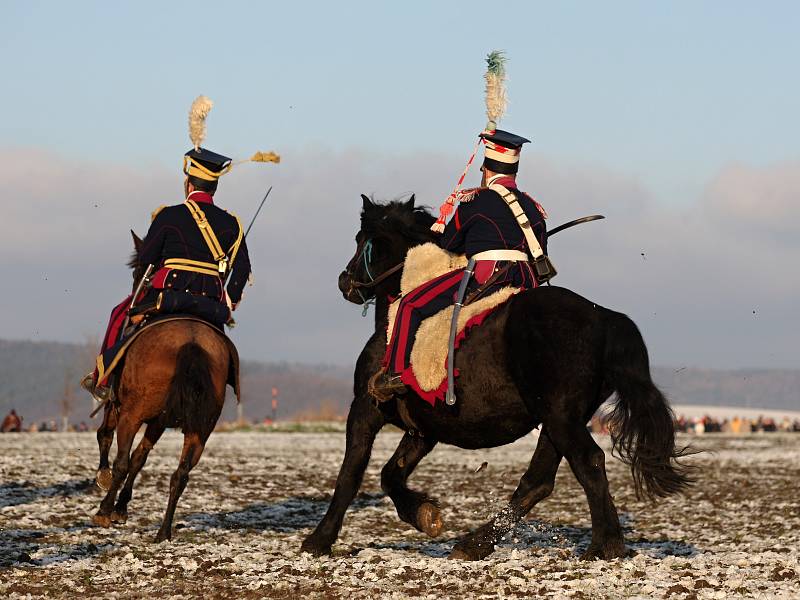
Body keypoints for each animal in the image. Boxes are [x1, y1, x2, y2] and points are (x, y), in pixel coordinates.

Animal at [302, 197, 692, 564]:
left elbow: (350, 475)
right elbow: (390, 474)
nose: (345, 281)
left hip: (561, 418)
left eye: (360, 239)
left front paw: (318, 540)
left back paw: (604, 545)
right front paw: (425, 515)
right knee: (537, 482)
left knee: (588, 462)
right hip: (559, 420)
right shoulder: (423, 429)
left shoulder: (365, 410)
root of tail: (603, 317)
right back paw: (475, 544)